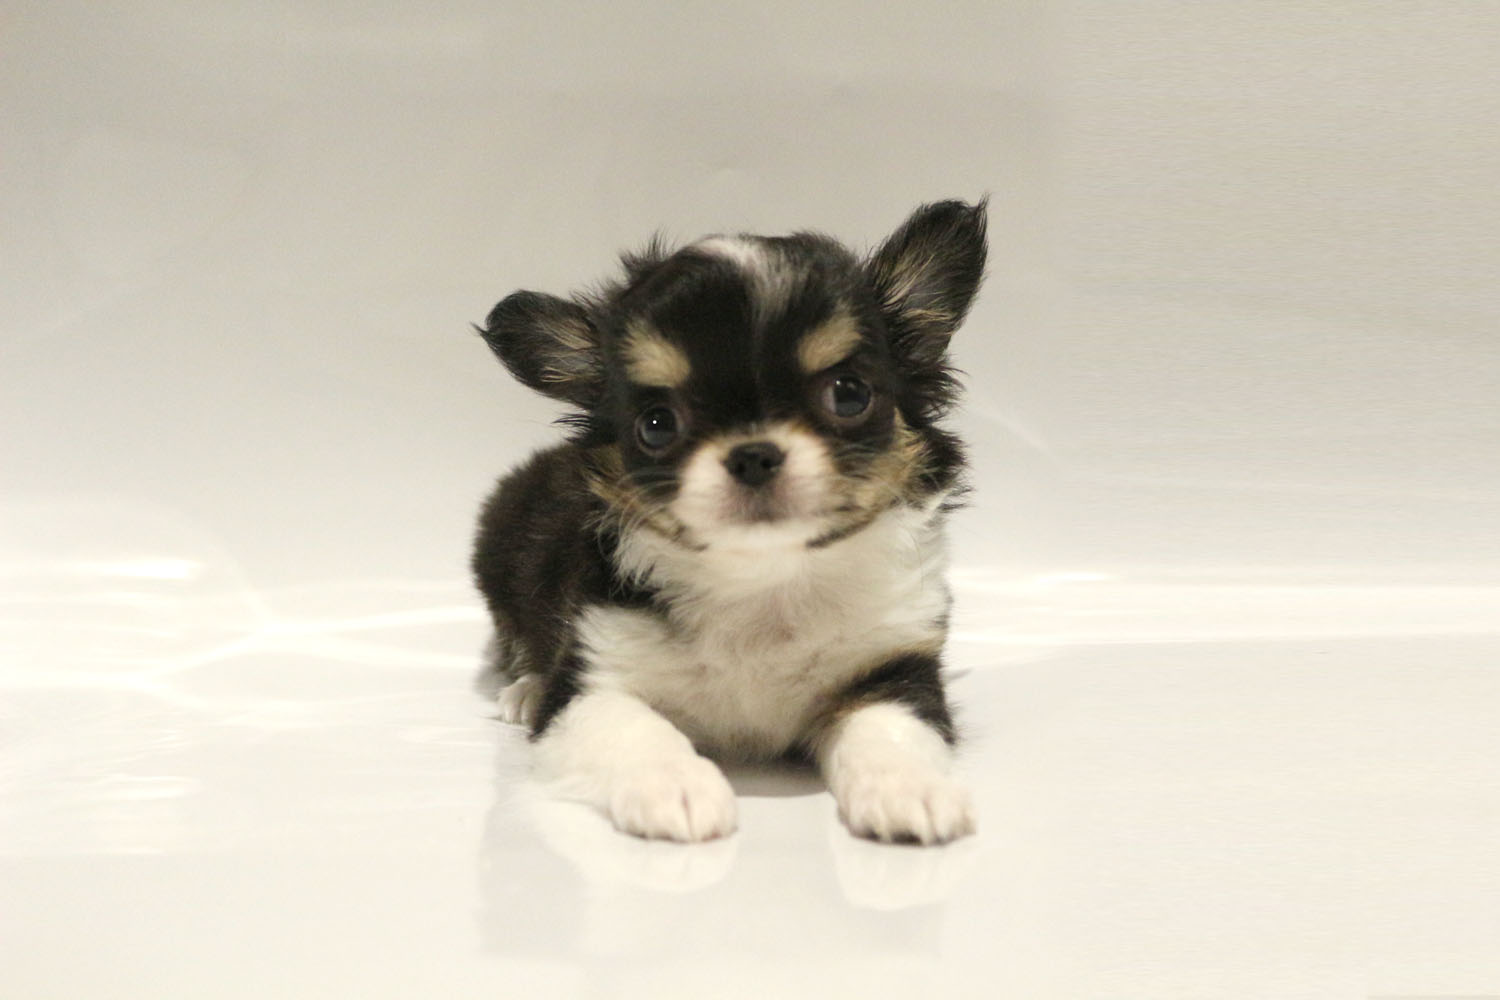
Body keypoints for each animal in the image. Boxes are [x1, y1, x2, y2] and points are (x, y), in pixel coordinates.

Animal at [472, 200, 986, 844]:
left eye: (848, 394)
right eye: (657, 425)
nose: (753, 454)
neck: (764, 583)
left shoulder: (891, 665)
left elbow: (892, 728)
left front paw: (911, 789)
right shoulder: (593, 680)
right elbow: (632, 728)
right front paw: (677, 788)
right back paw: (525, 688)